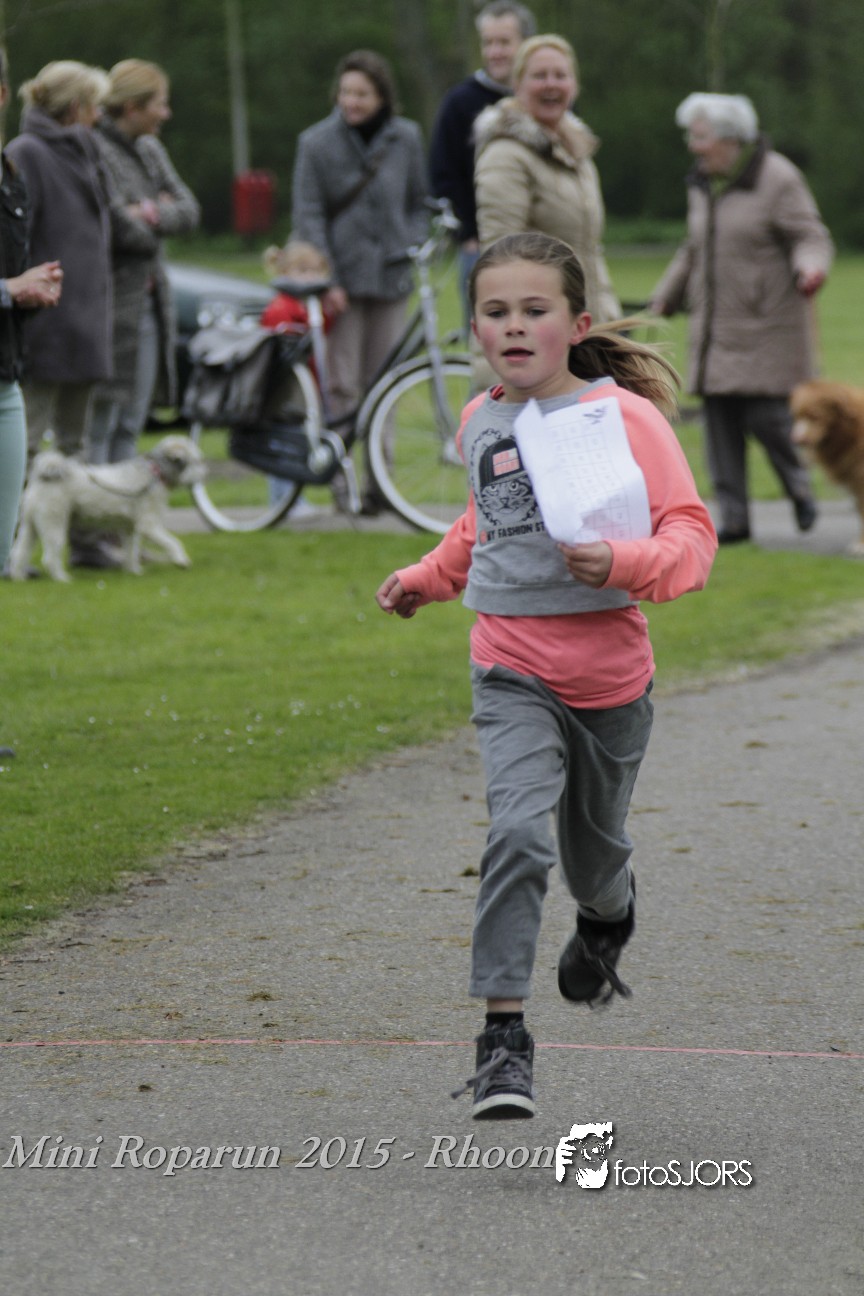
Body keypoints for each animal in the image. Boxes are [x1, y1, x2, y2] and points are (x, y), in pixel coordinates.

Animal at [8, 435, 205, 582]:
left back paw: (19, 577)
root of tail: (43, 475)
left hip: (30, 526)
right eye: (195, 461)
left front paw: (133, 571)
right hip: (54, 523)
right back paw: (62, 579)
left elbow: (131, 550)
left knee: (19, 552)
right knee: (49, 558)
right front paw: (181, 560)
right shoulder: (149, 526)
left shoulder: (130, 529)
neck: (155, 472)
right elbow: (172, 542)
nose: (206, 472)